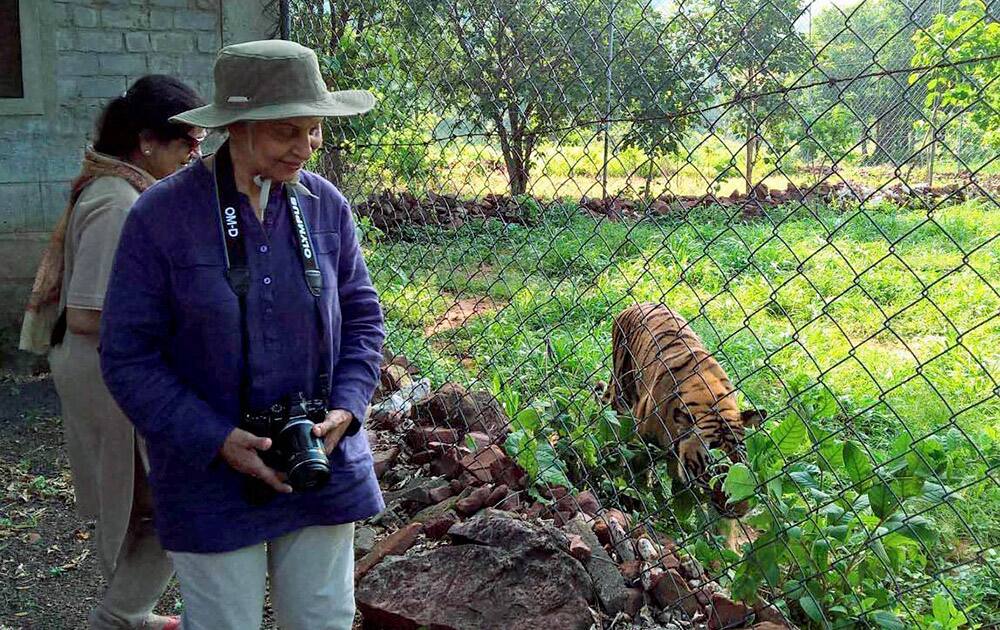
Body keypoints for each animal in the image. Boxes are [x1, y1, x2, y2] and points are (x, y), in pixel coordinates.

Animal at [592, 304, 764, 520]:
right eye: (712, 471)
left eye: (742, 463)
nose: (741, 512)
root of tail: (635, 305)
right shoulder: (643, 443)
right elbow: (639, 475)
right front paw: (636, 501)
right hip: (623, 392)